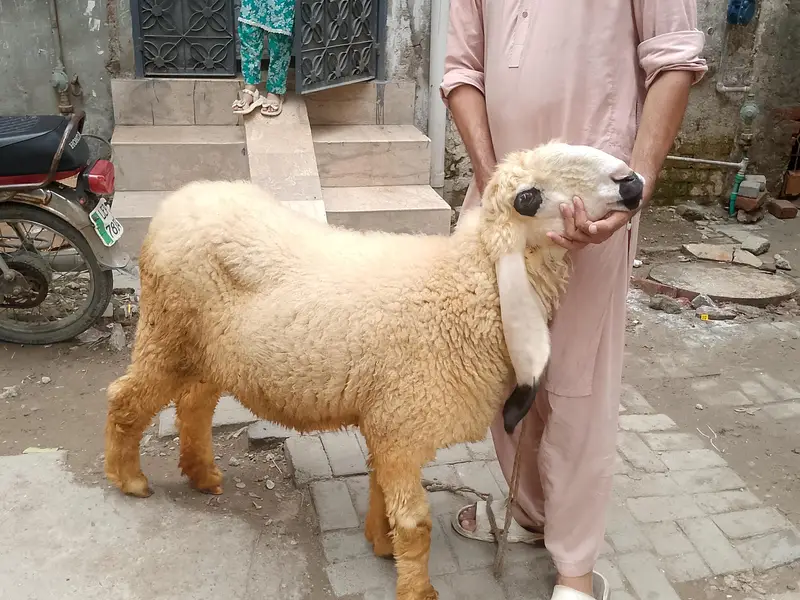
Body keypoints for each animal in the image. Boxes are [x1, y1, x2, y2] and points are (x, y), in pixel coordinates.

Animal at [104, 141, 643, 600]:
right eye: (528, 198)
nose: (632, 182)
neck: (463, 287)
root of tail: (178, 202)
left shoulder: (389, 424)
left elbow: (382, 490)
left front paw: (381, 545)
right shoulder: (402, 423)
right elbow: (416, 524)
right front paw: (417, 588)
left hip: (210, 351)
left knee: (194, 404)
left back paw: (203, 476)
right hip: (166, 330)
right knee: (126, 397)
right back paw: (129, 480)